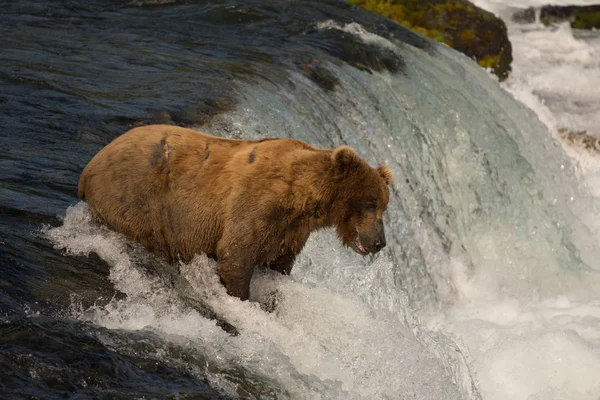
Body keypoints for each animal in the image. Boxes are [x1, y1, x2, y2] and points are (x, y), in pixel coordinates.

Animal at [78, 125, 394, 300]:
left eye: (384, 206)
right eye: (370, 203)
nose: (380, 242)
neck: (303, 199)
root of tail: (89, 167)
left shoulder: (291, 231)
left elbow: (280, 263)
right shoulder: (256, 205)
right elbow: (236, 255)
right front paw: (242, 299)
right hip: (136, 199)